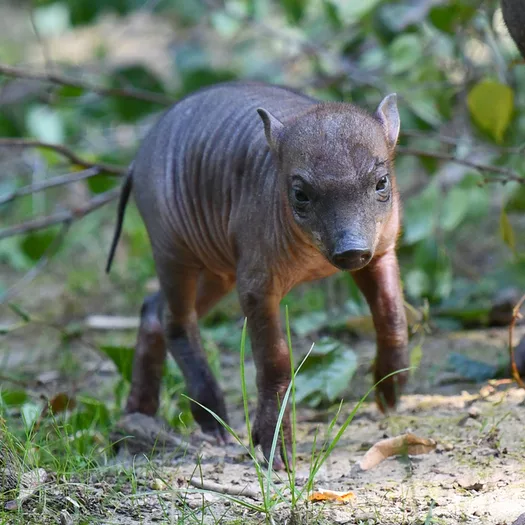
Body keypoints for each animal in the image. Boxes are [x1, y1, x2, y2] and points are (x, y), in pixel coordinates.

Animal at [106, 82, 408, 470]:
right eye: (300, 194)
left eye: (382, 182)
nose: (350, 250)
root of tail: (135, 161)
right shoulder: (256, 286)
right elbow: (274, 360)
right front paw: (274, 445)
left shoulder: (380, 252)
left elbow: (392, 314)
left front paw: (391, 386)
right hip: (172, 250)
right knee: (175, 318)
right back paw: (210, 415)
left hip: (218, 271)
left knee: (152, 308)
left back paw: (137, 414)